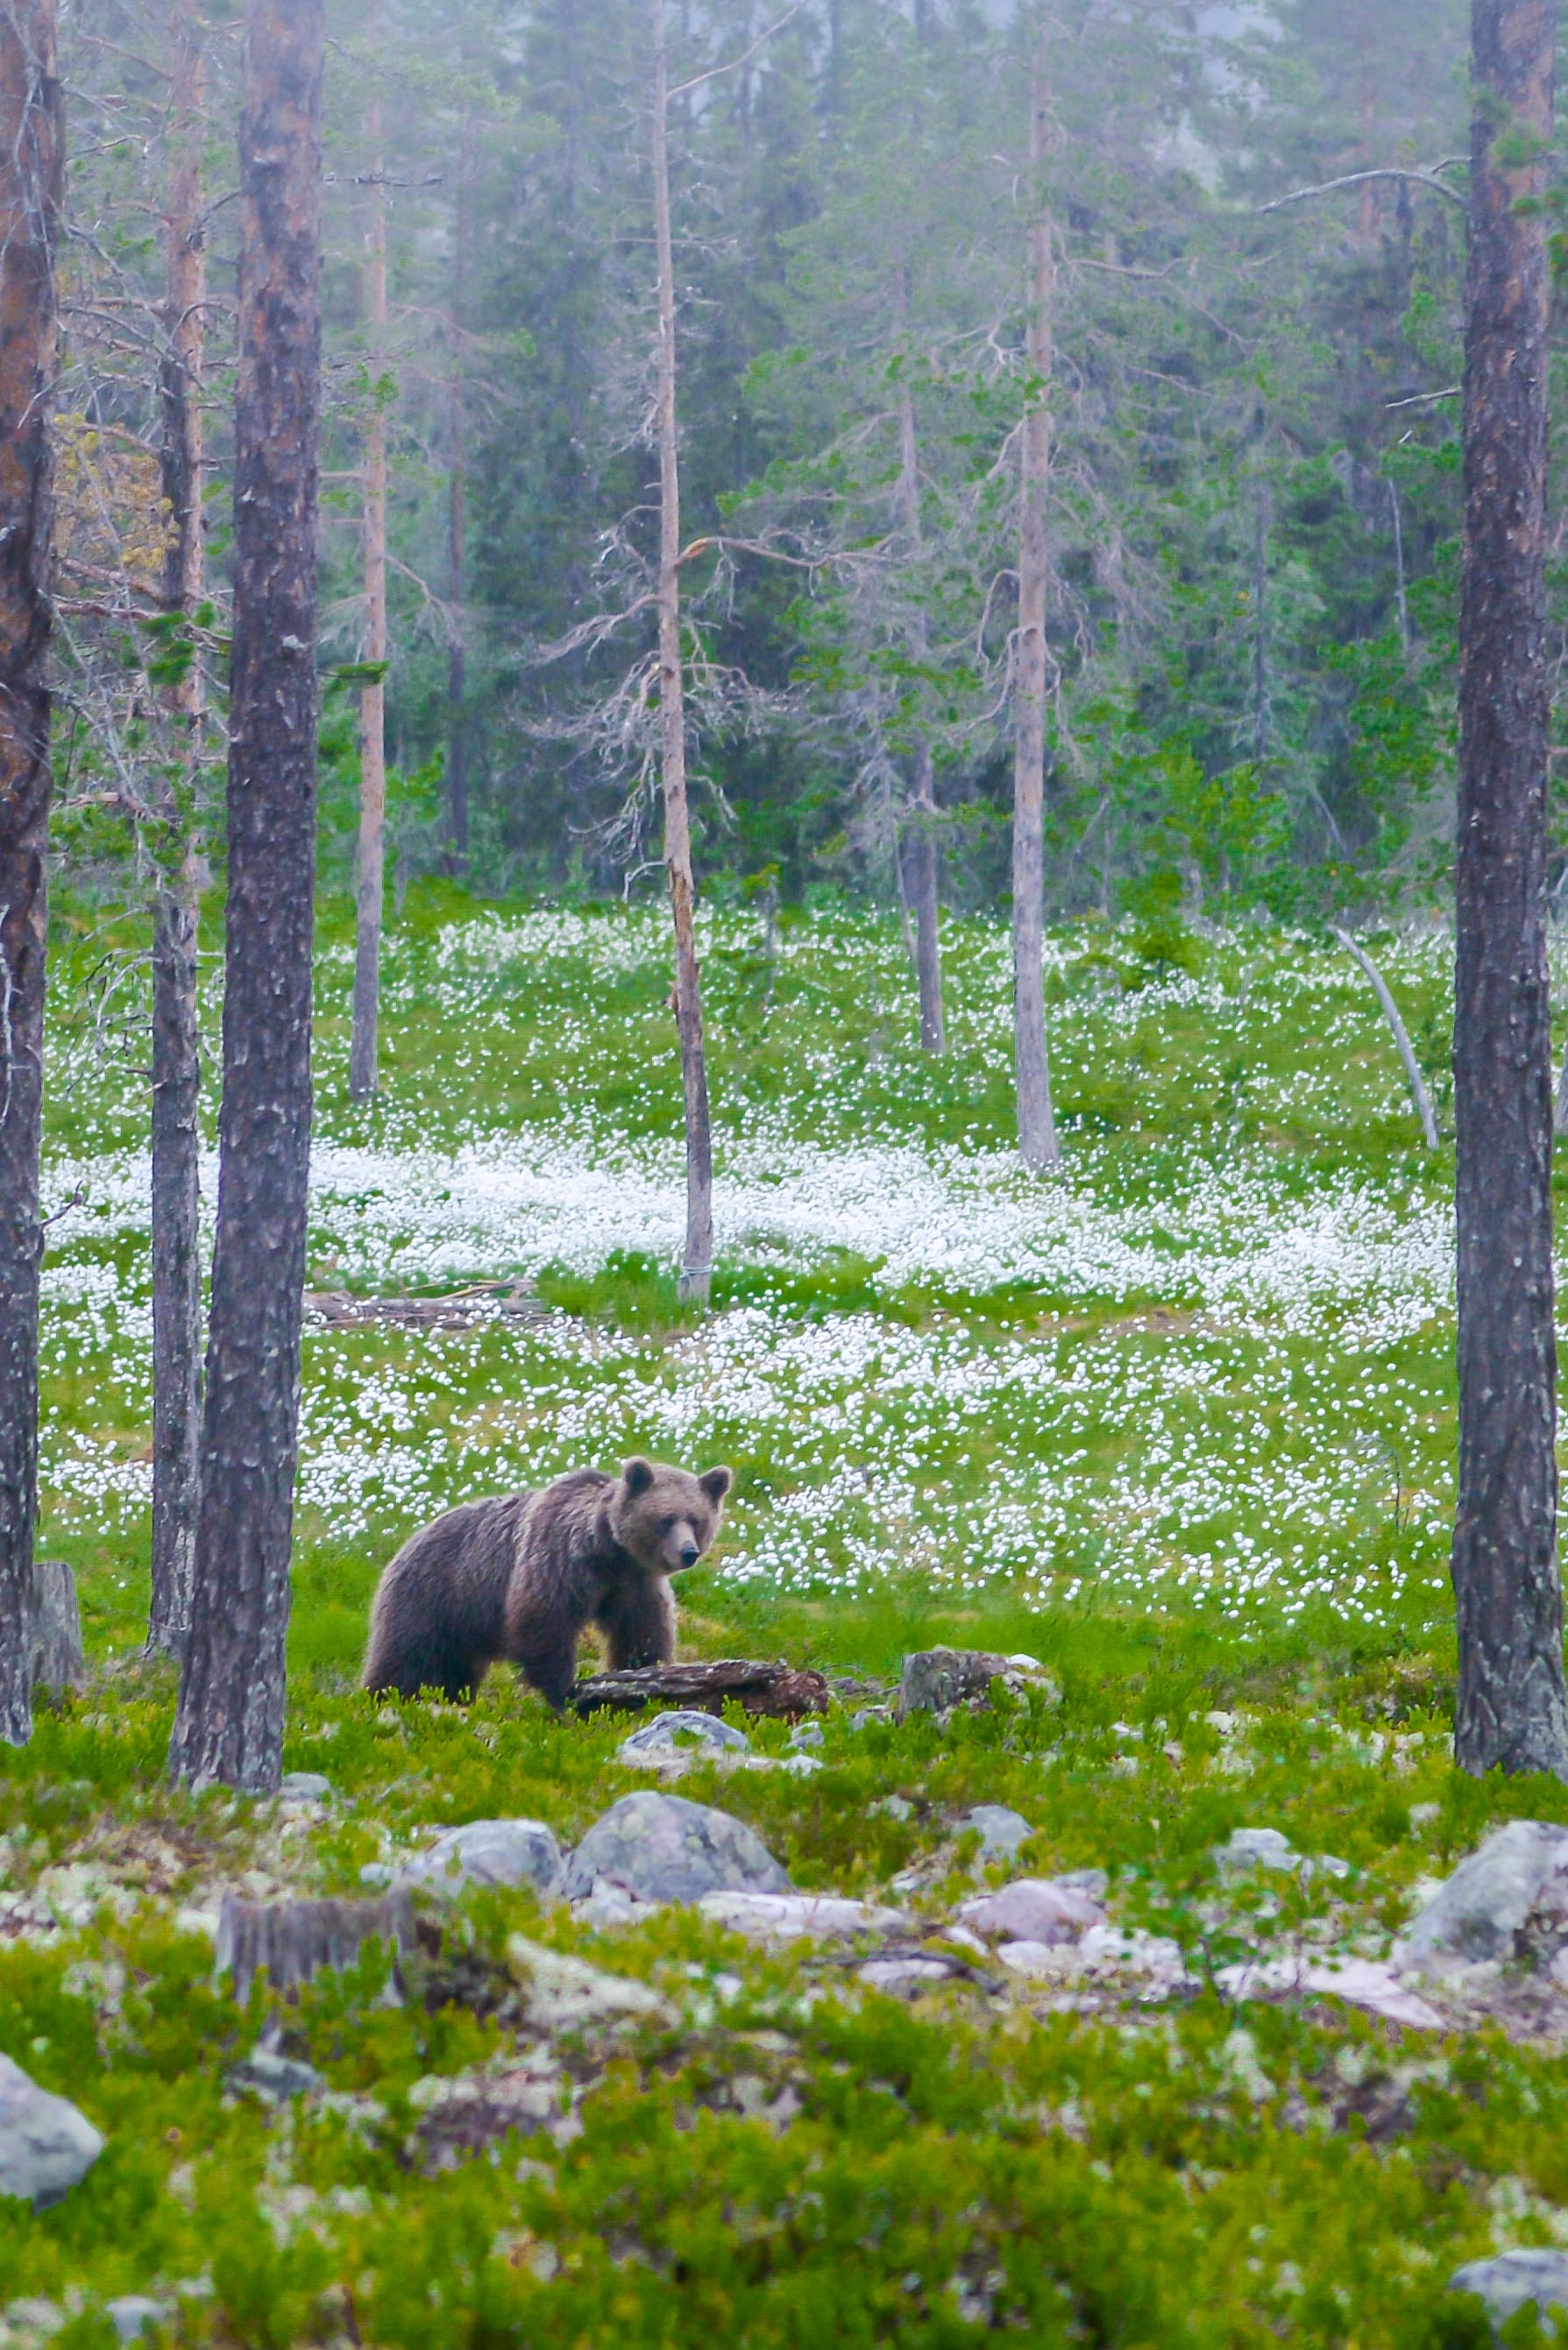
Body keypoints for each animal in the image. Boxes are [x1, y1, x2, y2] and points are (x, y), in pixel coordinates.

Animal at [362, 1457, 732, 1711]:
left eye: (696, 1520)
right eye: (665, 1520)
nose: (688, 1552)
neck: (608, 1552)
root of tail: (407, 1542)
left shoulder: (633, 1583)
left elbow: (641, 1633)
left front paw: (644, 1674)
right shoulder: (558, 1561)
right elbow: (543, 1623)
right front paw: (566, 1693)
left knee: (456, 1669)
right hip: (431, 1596)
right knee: (406, 1658)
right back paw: (383, 1696)